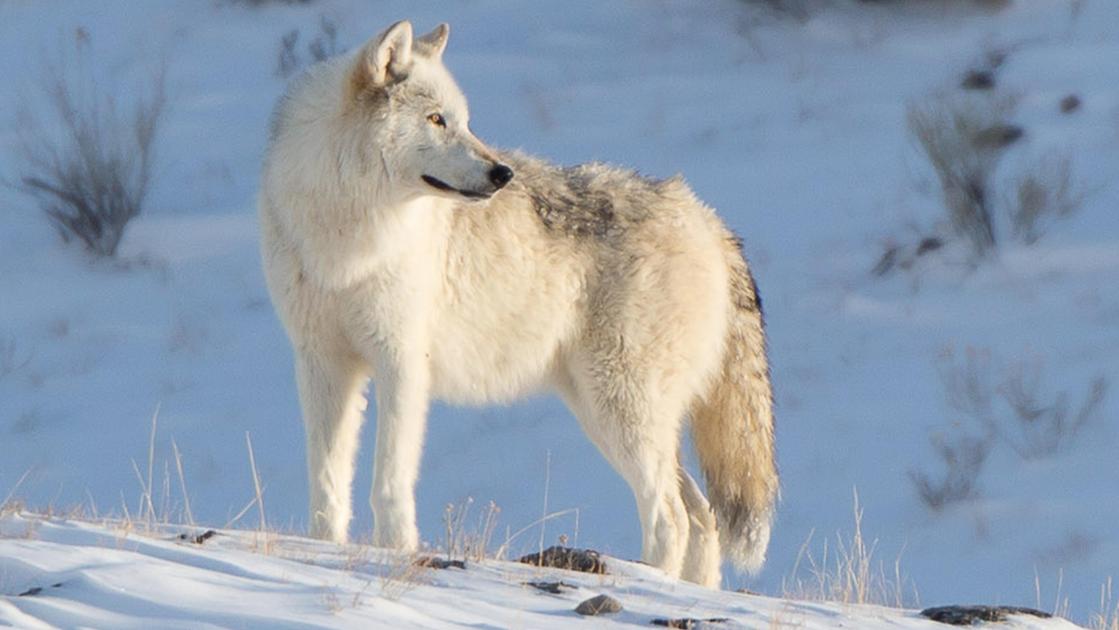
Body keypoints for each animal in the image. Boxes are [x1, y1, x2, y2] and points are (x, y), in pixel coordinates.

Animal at [259, 20, 778, 590]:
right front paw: (321, 548)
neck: (348, 232)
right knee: (702, 516)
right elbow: (328, 478)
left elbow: (390, 480)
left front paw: (394, 552)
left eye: (465, 121)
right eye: (436, 120)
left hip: (619, 409)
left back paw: (647, 580)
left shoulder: (402, 362)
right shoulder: (322, 362)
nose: (502, 174)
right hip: (610, 412)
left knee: (673, 517)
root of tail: (708, 220)